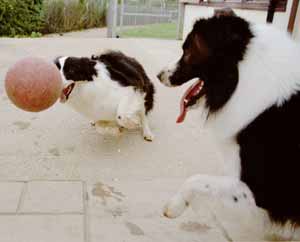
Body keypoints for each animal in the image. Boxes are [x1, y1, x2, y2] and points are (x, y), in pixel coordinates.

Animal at [157, 8, 300, 241]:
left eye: (188, 50)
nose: (159, 75)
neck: (244, 76)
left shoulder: (260, 192)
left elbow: (197, 179)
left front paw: (175, 206)